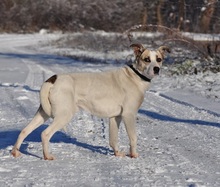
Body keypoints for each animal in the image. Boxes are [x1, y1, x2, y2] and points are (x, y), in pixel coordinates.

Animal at [11, 43, 170, 159]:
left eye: (159, 59)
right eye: (147, 59)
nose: (156, 69)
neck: (136, 76)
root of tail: (53, 78)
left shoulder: (115, 117)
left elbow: (113, 139)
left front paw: (117, 154)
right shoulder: (129, 115)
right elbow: (133, 138)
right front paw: (134, 155)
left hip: (43, 113)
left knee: (24, 131)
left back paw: (15, 152)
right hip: (63, 115)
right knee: (45, 134)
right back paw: (47, 156)